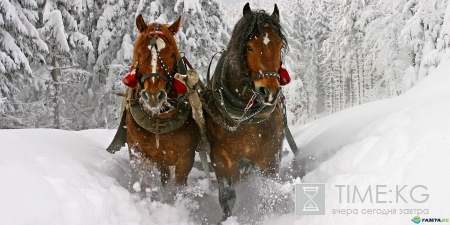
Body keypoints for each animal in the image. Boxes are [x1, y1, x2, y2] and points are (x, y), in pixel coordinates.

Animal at [107, 14, 199, 196]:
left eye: (172, 55)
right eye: (140, 53)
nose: (153, 96)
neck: (159, 119)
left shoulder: (186, 157)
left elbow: (179, 186)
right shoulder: (139, 153)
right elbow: (144, 182)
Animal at [204, 3, 288, 221]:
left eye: (279, 46)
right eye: (249, 47)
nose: (269, 92)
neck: (244, 117)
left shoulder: (270, 158)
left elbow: (268, 192)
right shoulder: (220, 158)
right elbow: (227, 196)